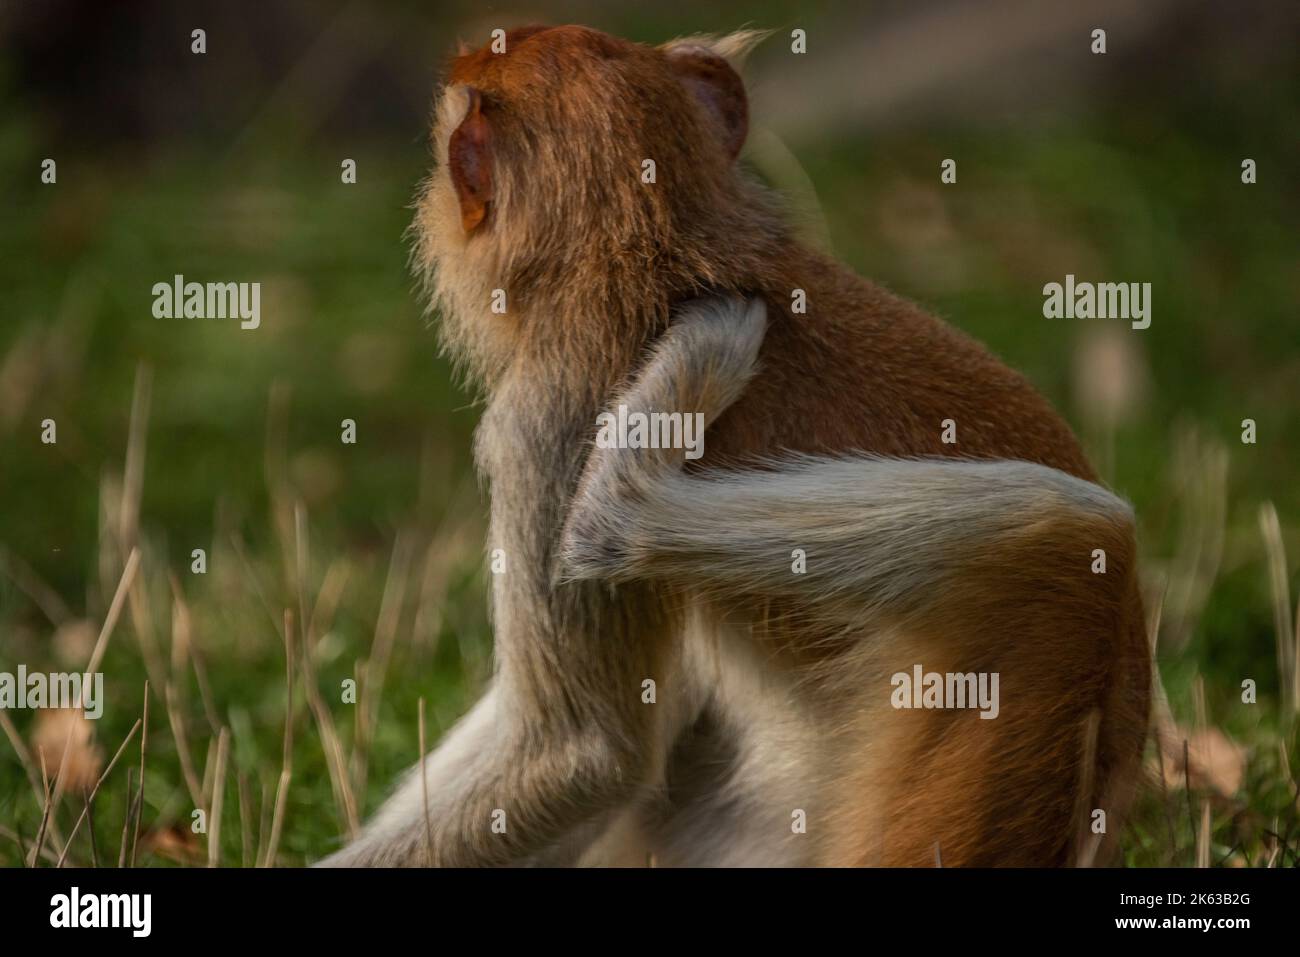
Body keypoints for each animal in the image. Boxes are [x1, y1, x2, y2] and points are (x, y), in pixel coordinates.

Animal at [319, 25, 1150, 867]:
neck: (647, 248)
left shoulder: (547, 416)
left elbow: (583, 754)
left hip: (969, 768)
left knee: (1072, 532)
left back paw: (632, 492)